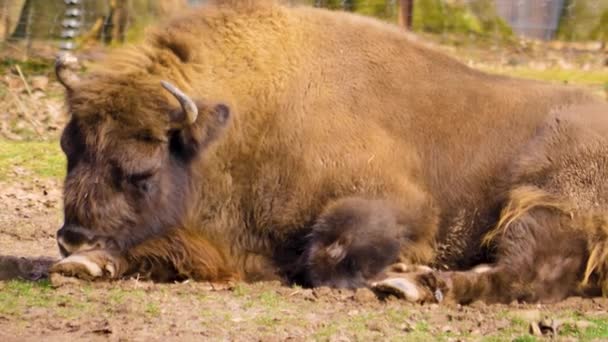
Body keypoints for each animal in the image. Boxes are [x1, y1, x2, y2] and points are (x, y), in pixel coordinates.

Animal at [51, 0, 608, 304]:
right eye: (67, 148)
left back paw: (411, 285)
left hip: (543, 202)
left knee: (523, 270)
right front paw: (86, 263)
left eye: (143, 171)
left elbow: (327, 256)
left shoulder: (399, 204)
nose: (71, 237)